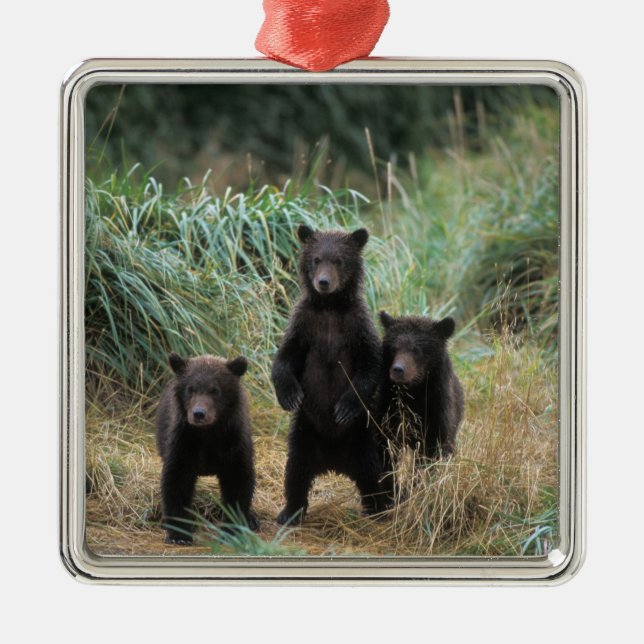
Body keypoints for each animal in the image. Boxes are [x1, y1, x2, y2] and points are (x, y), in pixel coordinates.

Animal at [155, 352, 257, 544]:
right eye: (191, 389)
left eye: (215, 390)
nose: (199, 414)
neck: (208, 434)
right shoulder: (184, 441)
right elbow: (177, 481)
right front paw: (179, 534)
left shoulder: (233, 443)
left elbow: (238, 481)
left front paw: (232, 529)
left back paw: (252, 519)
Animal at [271, 224, 387, 524]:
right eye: (316, 259)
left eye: (338, 260)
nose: (323, 282)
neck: (330, 306)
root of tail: (334, 462)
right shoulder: (304, 325)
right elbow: (285, 358)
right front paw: (289, 396)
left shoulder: (356, 326)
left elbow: (370, 365)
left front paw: (345, 407)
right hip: (305, 432)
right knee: (296, 471)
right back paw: (289, 512)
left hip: (362, 436)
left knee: (373, 472)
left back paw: (381, 509)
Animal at [377, 312, 464, 466]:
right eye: (394, 348)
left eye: (417, 350)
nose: (398, 369)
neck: (415, 390)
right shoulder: (390, 408)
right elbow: (387, 442)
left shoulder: (437, 409)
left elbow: (435, 448)